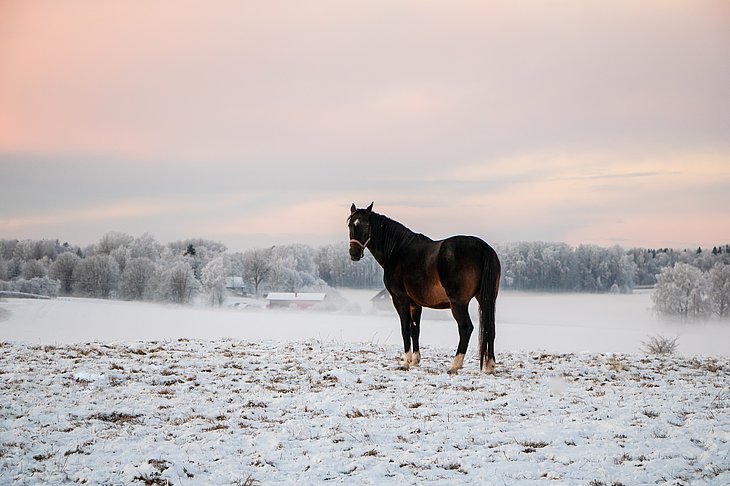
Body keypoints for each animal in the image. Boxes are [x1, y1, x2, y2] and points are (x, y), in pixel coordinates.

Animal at [348, 203, 501, 374]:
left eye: (366, 225)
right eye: (350, 224)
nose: (354, 253)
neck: (397, 250)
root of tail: (484, 248)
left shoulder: (400, 299)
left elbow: (405, 329)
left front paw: (406, 362)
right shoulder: (415, 304)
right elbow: (415, 330)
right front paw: (415, 360)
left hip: (458, 304)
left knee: (466, 328)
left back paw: (455, 365)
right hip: (486, 300)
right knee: (490, 329)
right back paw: (490, 366)